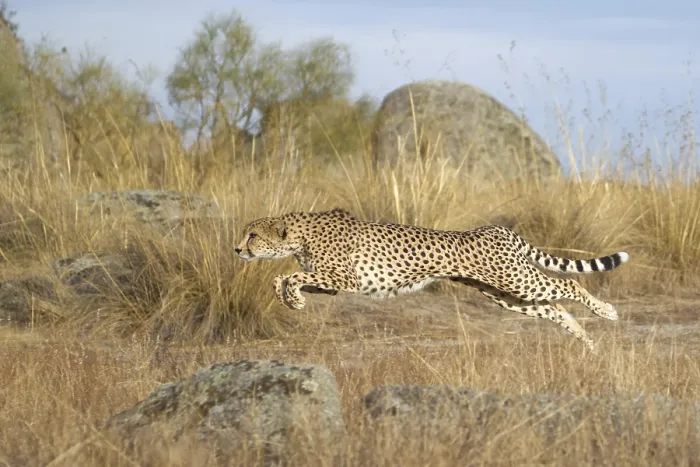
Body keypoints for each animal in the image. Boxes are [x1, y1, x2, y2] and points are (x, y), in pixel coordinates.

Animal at [234, 207, 629, 349]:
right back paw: (585, 341)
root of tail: (495, 228)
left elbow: (288, 274)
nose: (237, 249)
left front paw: (294, 297)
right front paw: (291, 299)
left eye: (252, 236)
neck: (299, 231)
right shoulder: (332, 282)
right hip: (505, 293)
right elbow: (285, 277)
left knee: (570, 285)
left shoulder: (346, 279)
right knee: (555, 309)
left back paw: (607, 312)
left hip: (515, 279)